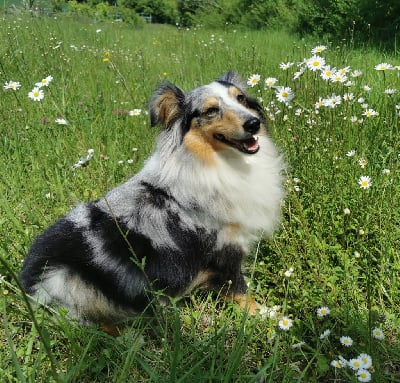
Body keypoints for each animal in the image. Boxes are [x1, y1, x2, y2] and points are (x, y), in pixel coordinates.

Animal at [20, 72, 286, 332]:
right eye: (211, 110)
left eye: (240, 98)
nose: (254, 123)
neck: (216, 160)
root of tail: (25, 281)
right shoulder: (224, 248)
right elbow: (240, 289)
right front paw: (266, 315)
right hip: (67, 279)